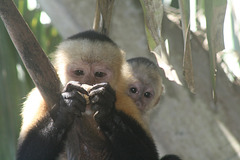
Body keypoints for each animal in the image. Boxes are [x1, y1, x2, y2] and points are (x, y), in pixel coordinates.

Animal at [16, 30, 165, 160]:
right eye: (79, 72)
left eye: (99, 74)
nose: (87, 83)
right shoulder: (38, 99)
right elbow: (25, 155)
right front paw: (65, 108)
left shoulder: (124, 101)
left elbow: (149, 155)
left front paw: (105, 111)